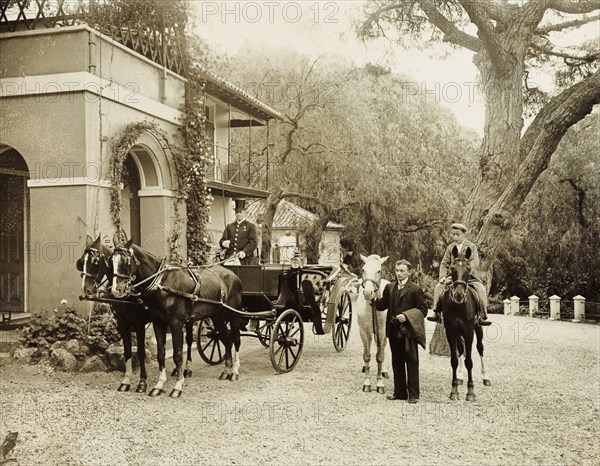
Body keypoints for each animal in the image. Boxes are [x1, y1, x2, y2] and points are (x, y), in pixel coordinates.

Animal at [78, 237, 195, 394]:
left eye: (95, 262)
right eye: (82, 261)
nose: (86, 290)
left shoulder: (138, 323)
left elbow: (140, 352)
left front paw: (142, 382)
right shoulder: (122, 322)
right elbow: (128, 351)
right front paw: (126, 381)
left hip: (187, 320)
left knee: (188, 340)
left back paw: (186, 369)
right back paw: (177, 370)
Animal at [110, 240, 244, 396]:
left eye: (126, 261)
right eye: (111, 261)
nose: (116, 290)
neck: (163, 283)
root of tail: (233, 275)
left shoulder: (175, 324)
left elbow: (178, 354)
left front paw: (177, 386)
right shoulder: (157, 323)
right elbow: (161, 354)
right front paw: (159, 385)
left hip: (233, 316)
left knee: (236, 340)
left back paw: (234, 372)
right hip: (217, 317)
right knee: (227, 339)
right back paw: (226, 370)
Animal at [440, 246, 492, 402]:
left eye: (468, 269)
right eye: (452, 268)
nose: (458, 295)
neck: (459, 306)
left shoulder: (469, 332)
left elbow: (469, 361)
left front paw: (470, 392)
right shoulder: (451, 332)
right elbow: (454, 360)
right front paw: (454, 390)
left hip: (478, 329)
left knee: (480, 348)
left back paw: (485, 377)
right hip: (458, 333)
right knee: (461, 348)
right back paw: (460, 376)